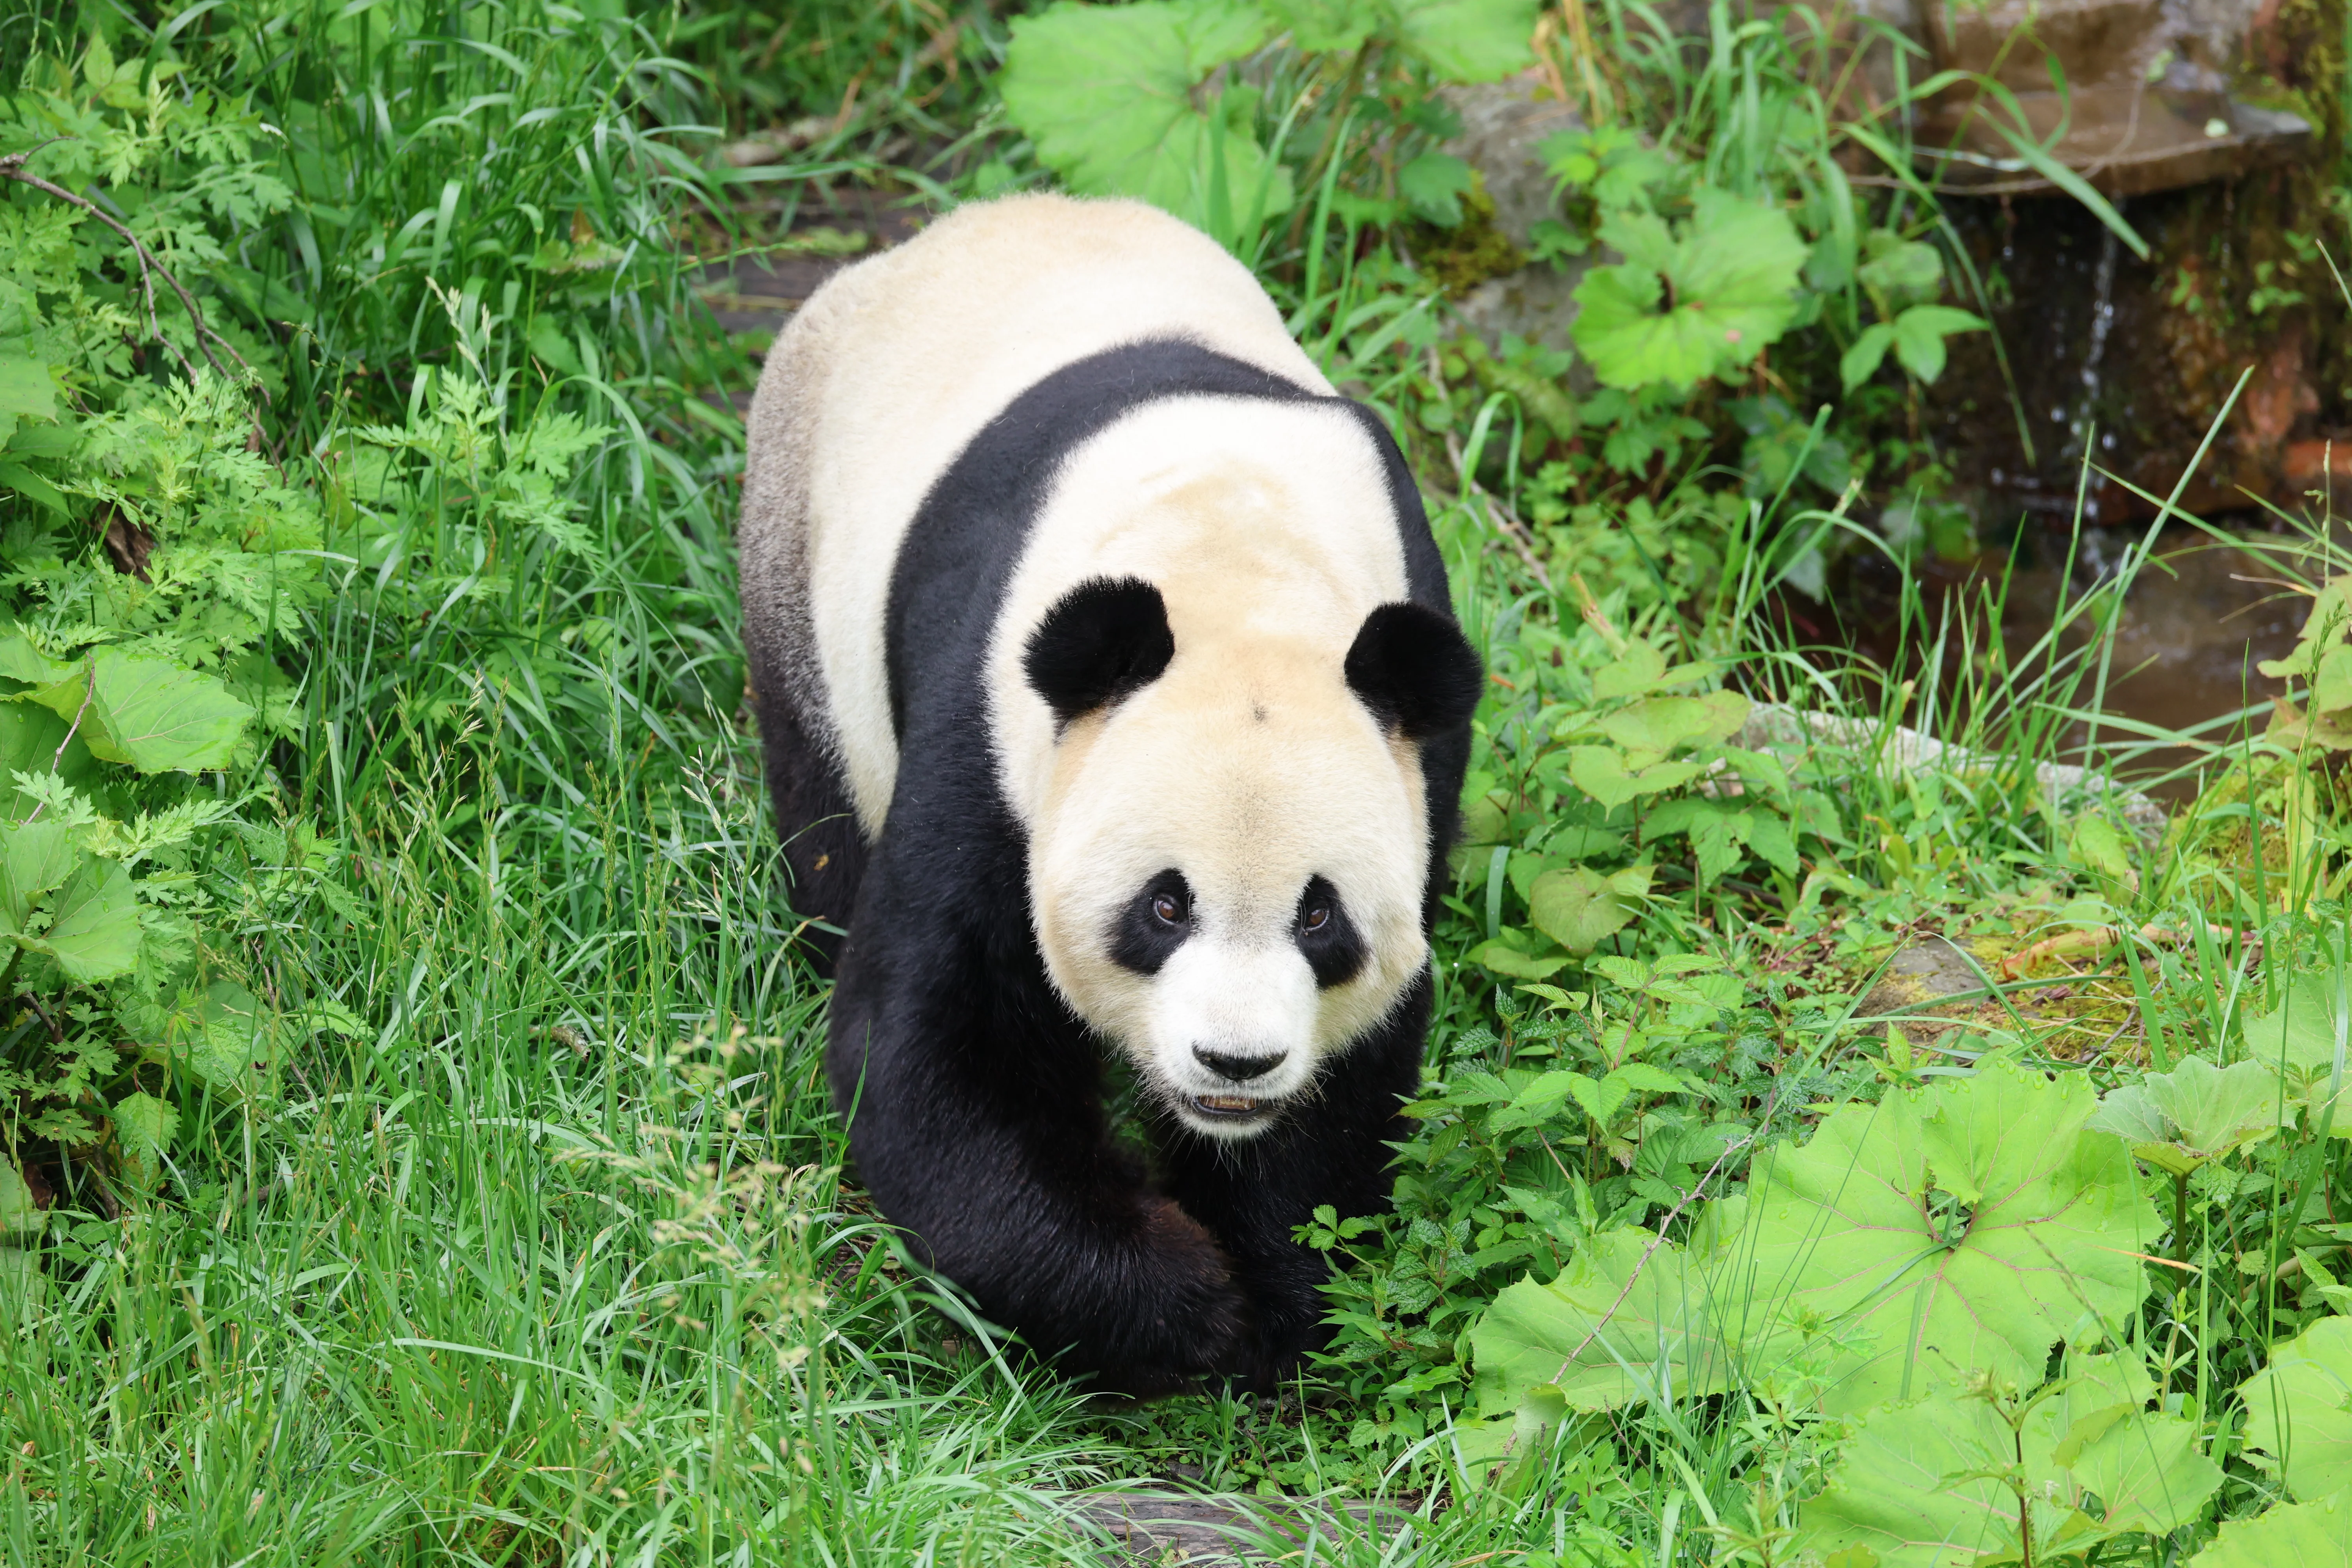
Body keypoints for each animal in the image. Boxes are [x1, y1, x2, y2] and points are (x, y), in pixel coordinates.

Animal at [738, 192, 1482, 1394]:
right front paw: (1183, 1303)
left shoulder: (1421, 755)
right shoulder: (996, 729)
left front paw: (1274, 1291)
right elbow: (933, 1054)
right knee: (824, 814)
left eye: (1320, 917)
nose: (1235, 1064)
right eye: (1163, 905)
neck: (1237, 564)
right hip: (800, 554)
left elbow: (1349, 1086)